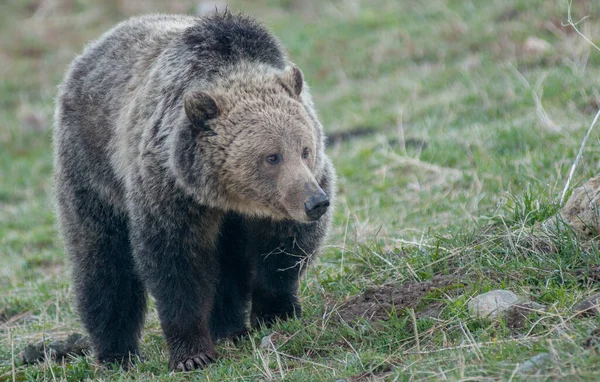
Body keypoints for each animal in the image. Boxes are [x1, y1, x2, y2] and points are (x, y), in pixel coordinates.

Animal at [53, 12, 336, 374]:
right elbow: (176, 264)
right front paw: (192, 354)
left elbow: (282, 252)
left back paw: (229, 327)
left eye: (305, 149)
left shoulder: (279, 205)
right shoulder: (172, 191)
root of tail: (89, 52)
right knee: (103, 261)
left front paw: (277, 314)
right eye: (272, 156)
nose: (316, 202)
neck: (228, 196)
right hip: (93, 170)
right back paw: (117, 353)